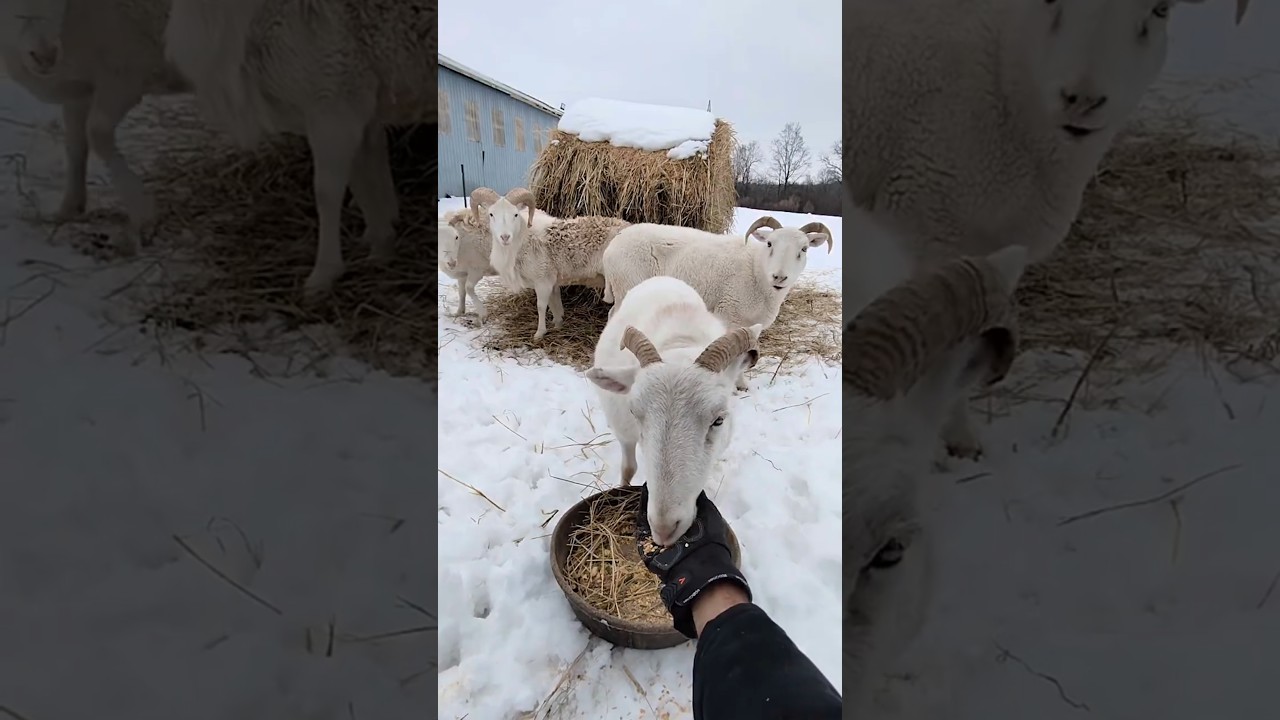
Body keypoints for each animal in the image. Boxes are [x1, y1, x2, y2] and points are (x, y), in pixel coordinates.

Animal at [0, 0, 188, 255]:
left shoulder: (125, 77)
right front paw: (69, 208)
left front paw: (142, 214)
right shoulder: (80, 91)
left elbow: (97, 134)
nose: (46, 56)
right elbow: (76, 146)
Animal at [164, 0, 435, 298]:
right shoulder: (357, 108)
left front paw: (324, 274)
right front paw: (381, 244)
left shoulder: (332, 101)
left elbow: (328, 192)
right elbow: (364, 178)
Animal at [479, 187, 631, 341]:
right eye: (491, 214)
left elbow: (541, 306)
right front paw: (557, 324)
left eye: (515, 214)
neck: (522, 239)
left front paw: (539, 333)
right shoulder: (551, 281)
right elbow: (554, 304)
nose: (505, 237)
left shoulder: (542, 281)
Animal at [585, 274, 762, 547]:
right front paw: (622, 489)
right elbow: (628, 468)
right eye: (635, 413)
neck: (681, 340)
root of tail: (662, 277)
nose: (663, 529)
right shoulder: (624, 430)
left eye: (719, 420)